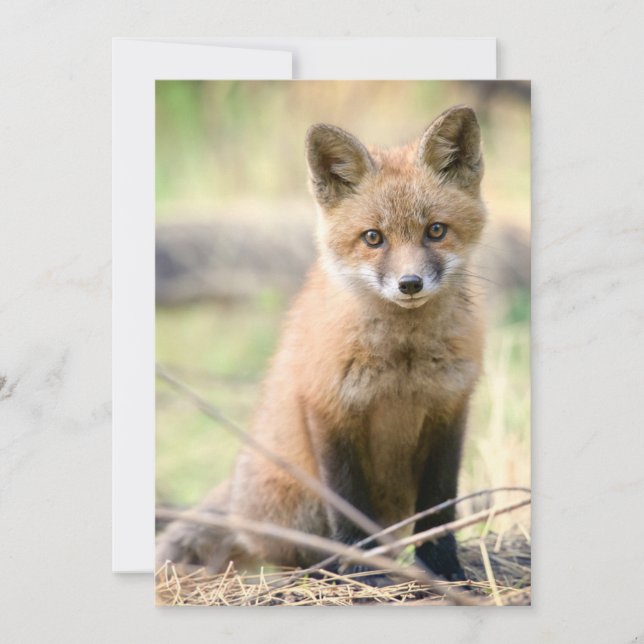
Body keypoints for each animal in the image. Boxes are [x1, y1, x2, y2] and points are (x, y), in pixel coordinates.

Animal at [157, 105, 487, 584]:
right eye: (373, 237)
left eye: (436, 231)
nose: (409, 284)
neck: (402, 363)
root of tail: (237, 502)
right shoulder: (330, 408)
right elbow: (348, 508)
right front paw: (362, 572)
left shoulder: (450, 411)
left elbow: (440, 509)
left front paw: (446, 571)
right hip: (297, 504)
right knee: (292, 554)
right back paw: (325, 569)